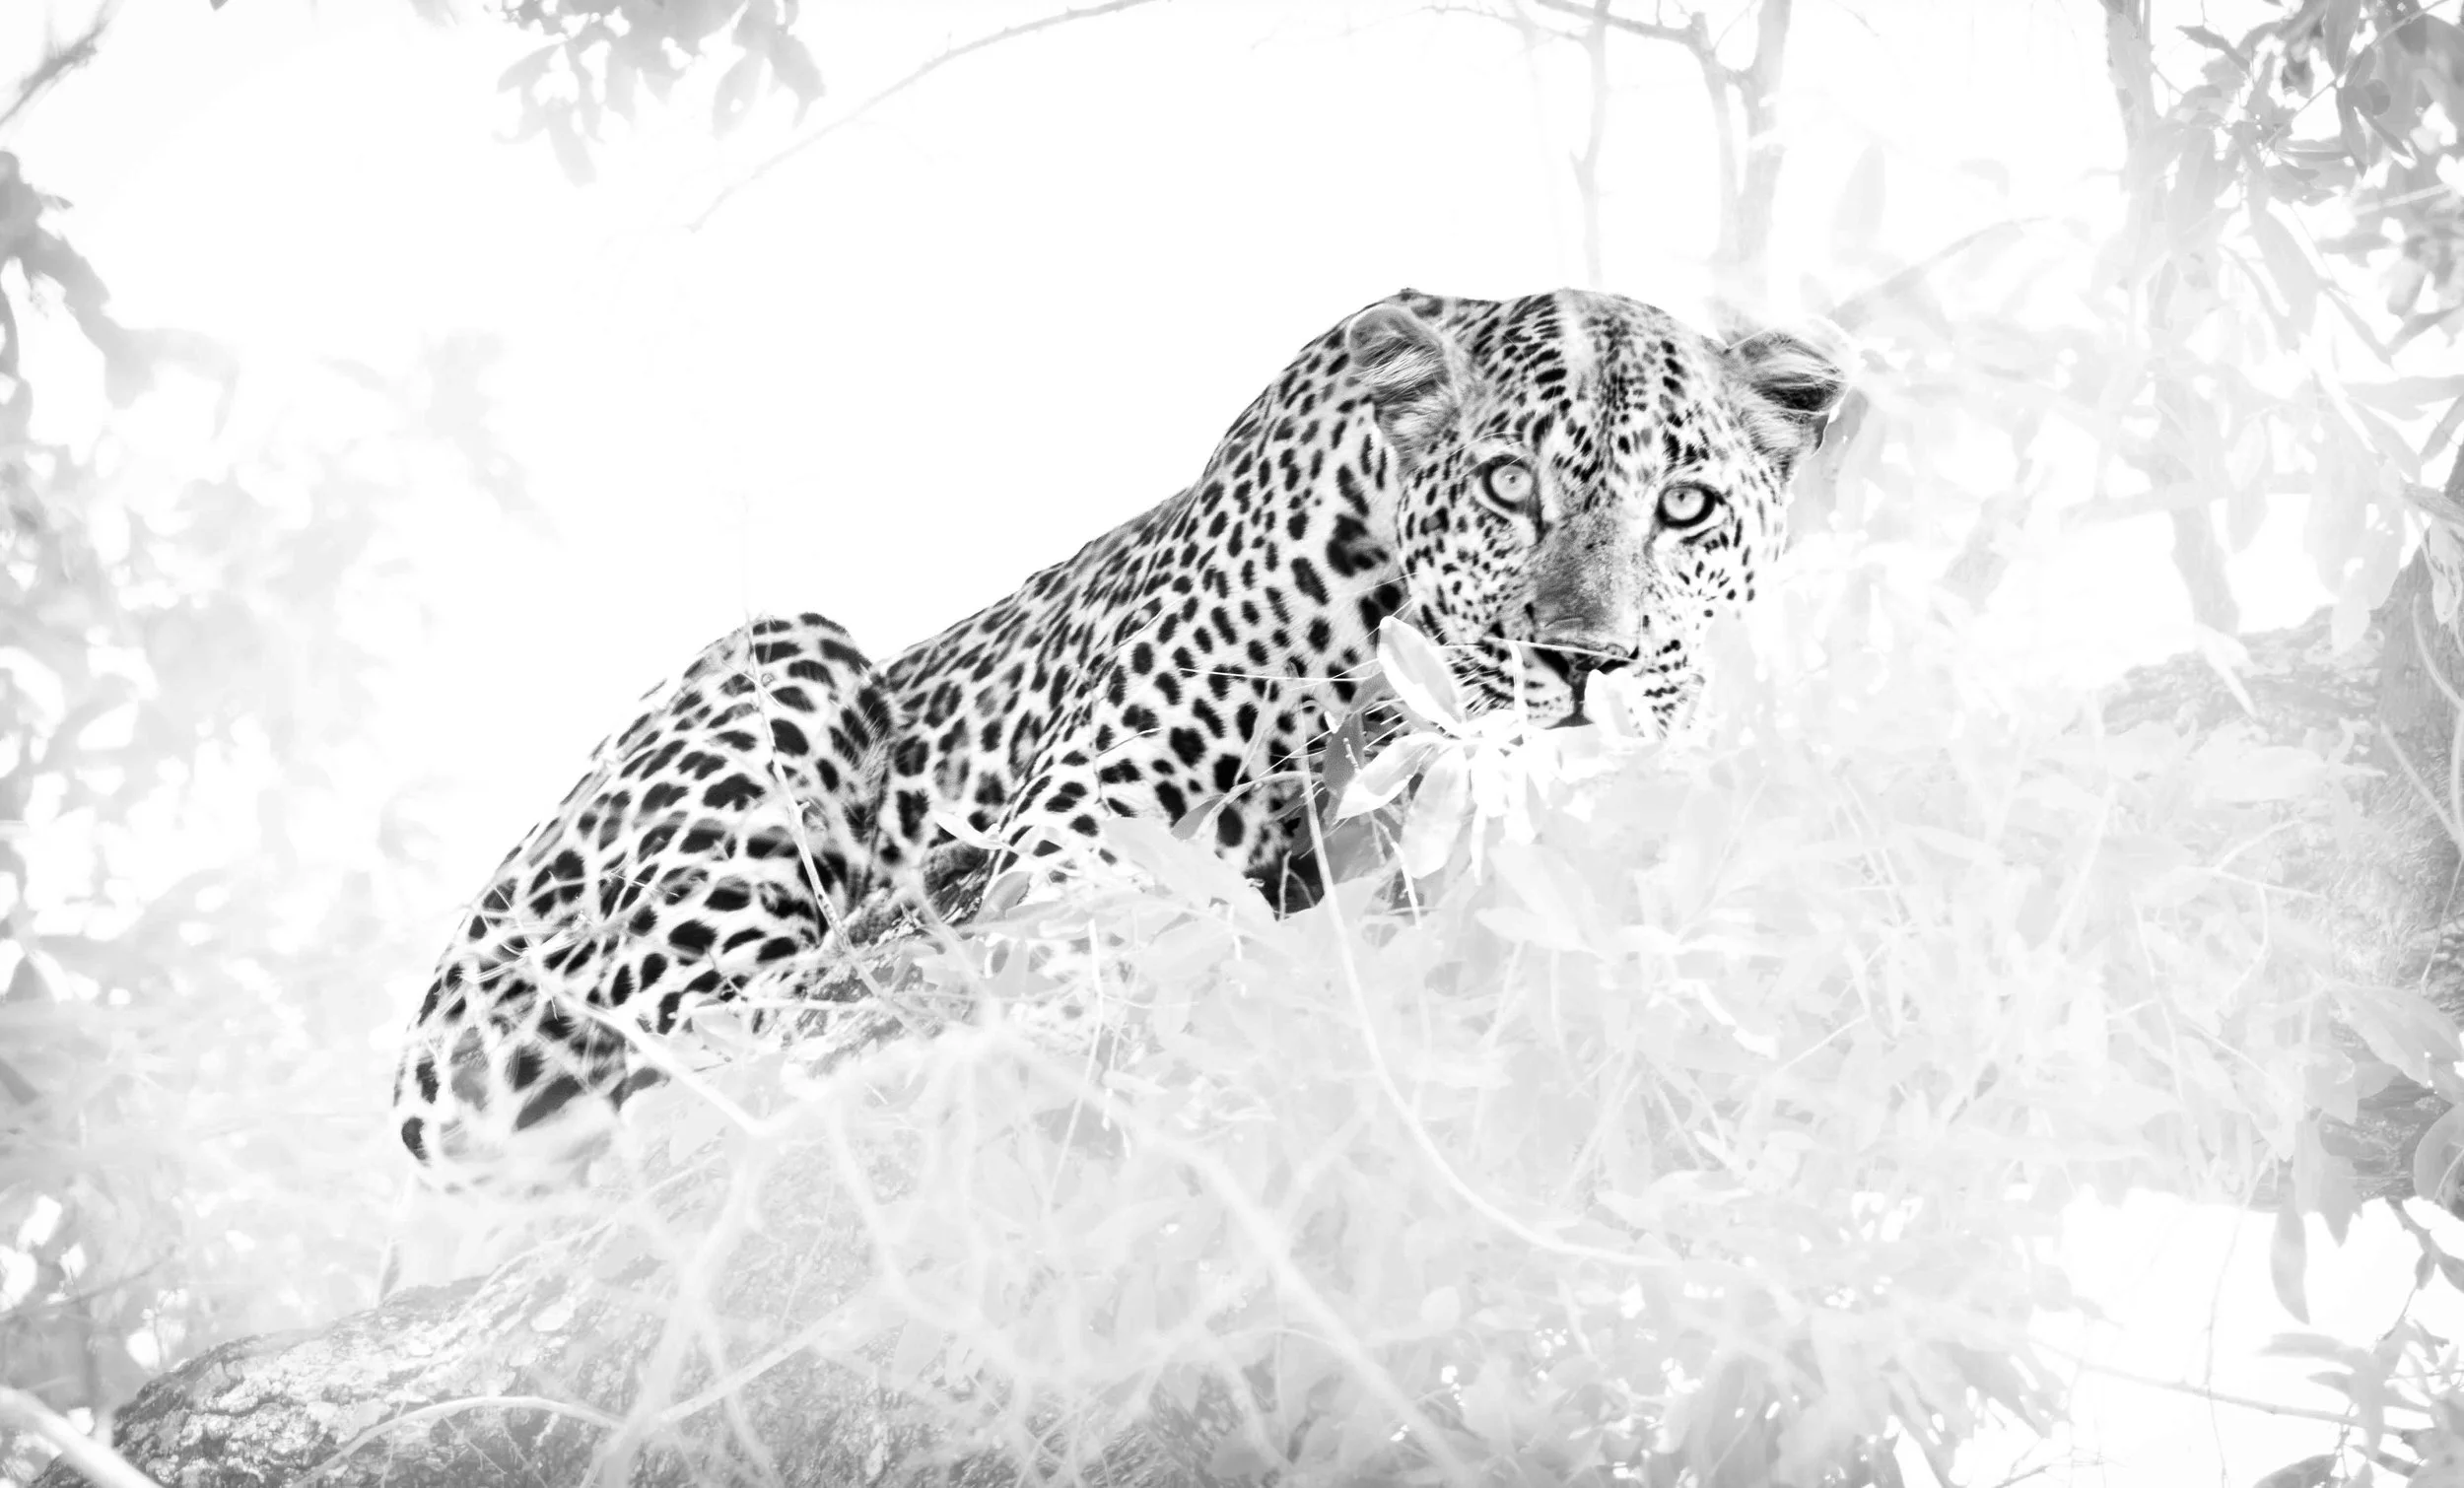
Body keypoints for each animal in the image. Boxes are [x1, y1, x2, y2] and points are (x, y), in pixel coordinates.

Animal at [388, 287, 1846, 1192]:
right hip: (770, 666)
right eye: (1507, 486)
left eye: (1687, 506)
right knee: (710, 1042)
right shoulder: (1077, 829)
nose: (1587, 664)